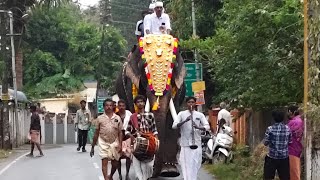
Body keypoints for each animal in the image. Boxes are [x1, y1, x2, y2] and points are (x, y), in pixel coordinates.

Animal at [115, 34, 186, 177]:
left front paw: (169, 171)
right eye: (144, 67)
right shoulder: (132, 82)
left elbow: (171, 120)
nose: (154, 172)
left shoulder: (177, 87)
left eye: (173, 67)